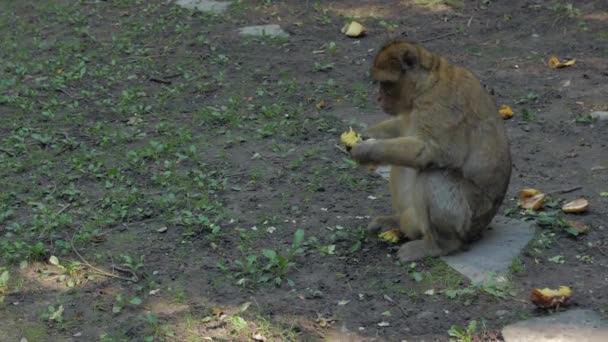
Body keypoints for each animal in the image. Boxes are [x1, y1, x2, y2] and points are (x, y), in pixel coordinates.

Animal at [352, 37, 512, 260]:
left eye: (386, 84)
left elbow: (432, 151)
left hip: (467, 222)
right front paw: (368, 134)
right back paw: (396, 222)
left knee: (433, 175)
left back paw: (438, 246)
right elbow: (401, 128)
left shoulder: (441, 106)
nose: (379, 98)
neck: (425, 86)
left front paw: (366, 151)